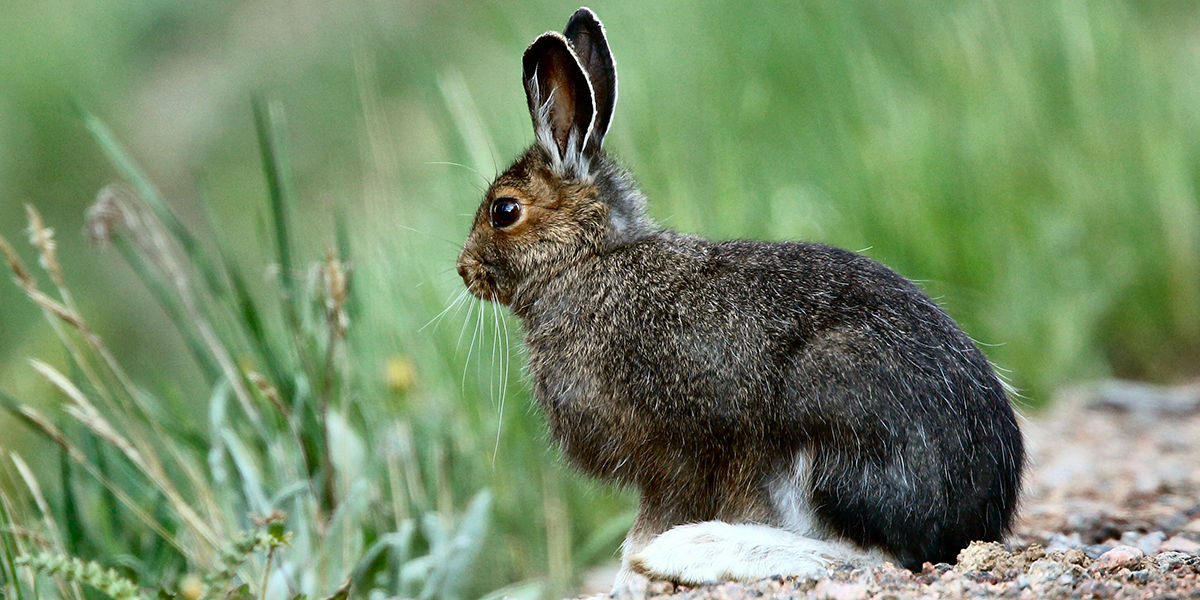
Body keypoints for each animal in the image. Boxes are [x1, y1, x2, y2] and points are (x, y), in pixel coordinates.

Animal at [456, 7, 1025, 590]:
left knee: (868, 555)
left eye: (504, 210)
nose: (464, 270)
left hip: (826, 427)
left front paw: (631, 577)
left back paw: (697, 551)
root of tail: (975, 519)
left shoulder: (674, 456)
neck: (587, 260)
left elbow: (644, 528)